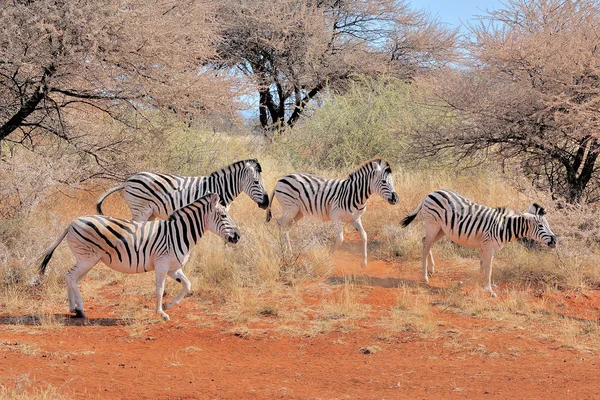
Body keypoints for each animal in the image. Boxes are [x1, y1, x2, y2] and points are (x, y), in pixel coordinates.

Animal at [36, 192, 239, 320]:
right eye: (223, 216)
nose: (238, 236)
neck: (178, 233)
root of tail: (72, 222)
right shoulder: (162, 264)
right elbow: (159, 289)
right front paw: (161, 313)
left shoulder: (174, 268)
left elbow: (187, 285)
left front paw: (167, 306)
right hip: (87, 259)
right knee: (70, 276)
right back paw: (80, 310)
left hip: (87, 260)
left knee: (71, 278)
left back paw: (74, 308)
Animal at [96, 159, 270, 222]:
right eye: (256, 182)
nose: (267, 203)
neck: (220, 188)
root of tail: (127, 182)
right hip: (140, 211)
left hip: (150, 213)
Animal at [266, 158, 398, 268]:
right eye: (383, 181)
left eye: (392, 181)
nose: (396, 199)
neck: (355, 194)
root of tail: (281, 179)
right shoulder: (336, 218)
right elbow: (340, 239)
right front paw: (328, 257)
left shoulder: (355, 219)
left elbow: (364, 236)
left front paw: (364, 263)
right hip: (290, 208)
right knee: (280, 224)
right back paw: (283, 251)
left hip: (298, 212)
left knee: (286, 228)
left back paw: (290, 252)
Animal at [400, 190, 556, 296]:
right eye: (541, 226)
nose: (555, 241)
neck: (503, 228)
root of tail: (431, 192)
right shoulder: (489, 248)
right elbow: (488, 270)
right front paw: (490, 291)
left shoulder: (483, 247)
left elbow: (481, 270)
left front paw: (461, 283)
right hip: (432, 224)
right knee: (426, 245)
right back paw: (425, 276)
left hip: (441, 229)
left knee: (425, 241)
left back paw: (431, 269)